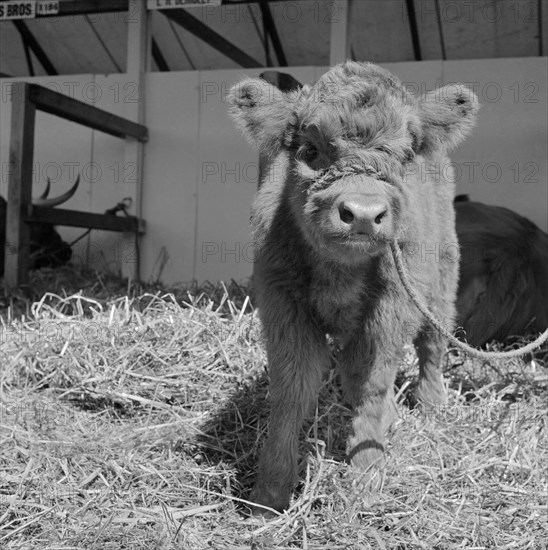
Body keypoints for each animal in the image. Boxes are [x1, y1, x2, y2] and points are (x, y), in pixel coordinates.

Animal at [229, 62, 478, 516]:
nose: (363, 214)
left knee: (433, 341)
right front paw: (269, 493)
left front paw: (365, 475)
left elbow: (373, 380)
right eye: (310, 150)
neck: (341, 273)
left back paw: (431, 404)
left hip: (442, 278)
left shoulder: (390, 309)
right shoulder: (282, 304)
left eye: (406, 156)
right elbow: (292, 388)